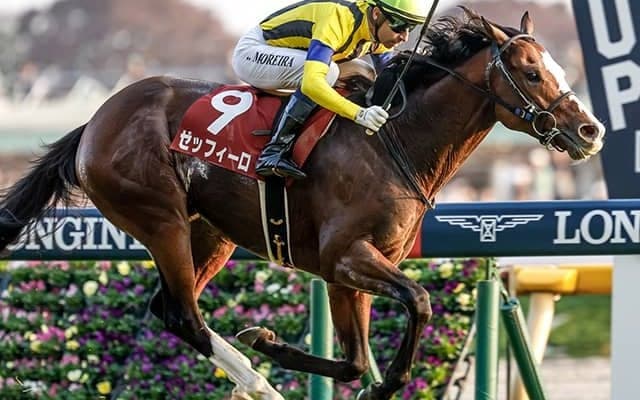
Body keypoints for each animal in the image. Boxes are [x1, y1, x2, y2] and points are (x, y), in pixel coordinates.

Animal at [0, 8, 604, 400]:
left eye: (556, 69)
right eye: (531, 73)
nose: (590, 130)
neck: (394, 140)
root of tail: (95, 122)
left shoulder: (347, 271)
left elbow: (356, 361)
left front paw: (272, 340)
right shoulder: (347, 256)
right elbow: (420, 302)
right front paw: (378, 383)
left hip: (209, 231)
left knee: (169, 308)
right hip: (160, 217)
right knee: (185, 315)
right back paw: (258, 384)